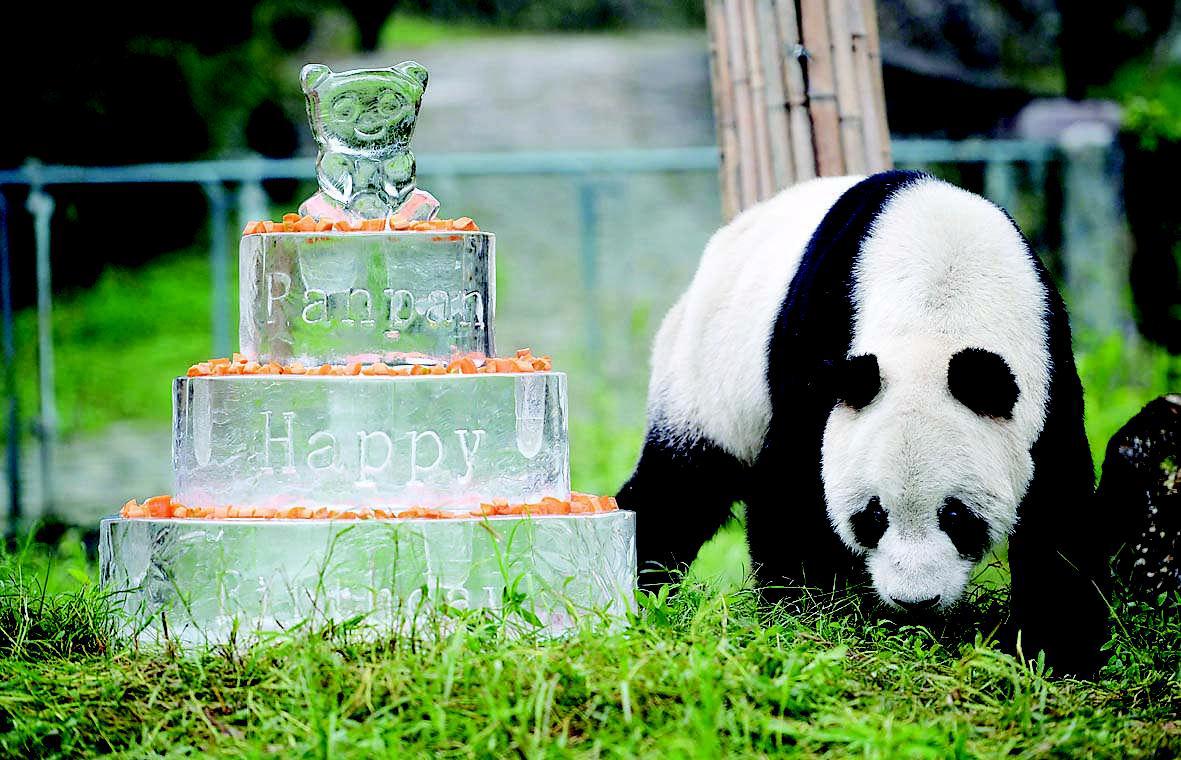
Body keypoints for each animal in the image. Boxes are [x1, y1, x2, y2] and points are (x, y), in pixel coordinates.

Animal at [623, 171, 1110, 675]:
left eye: (956, 515)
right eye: (874, 515)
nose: (915, 602)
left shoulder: (1047, 371)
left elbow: (1058, 505)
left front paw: (1056, 648)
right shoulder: (819, 342)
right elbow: (794, 485)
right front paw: (807, 616)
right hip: (707, 374)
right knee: (682, 485)